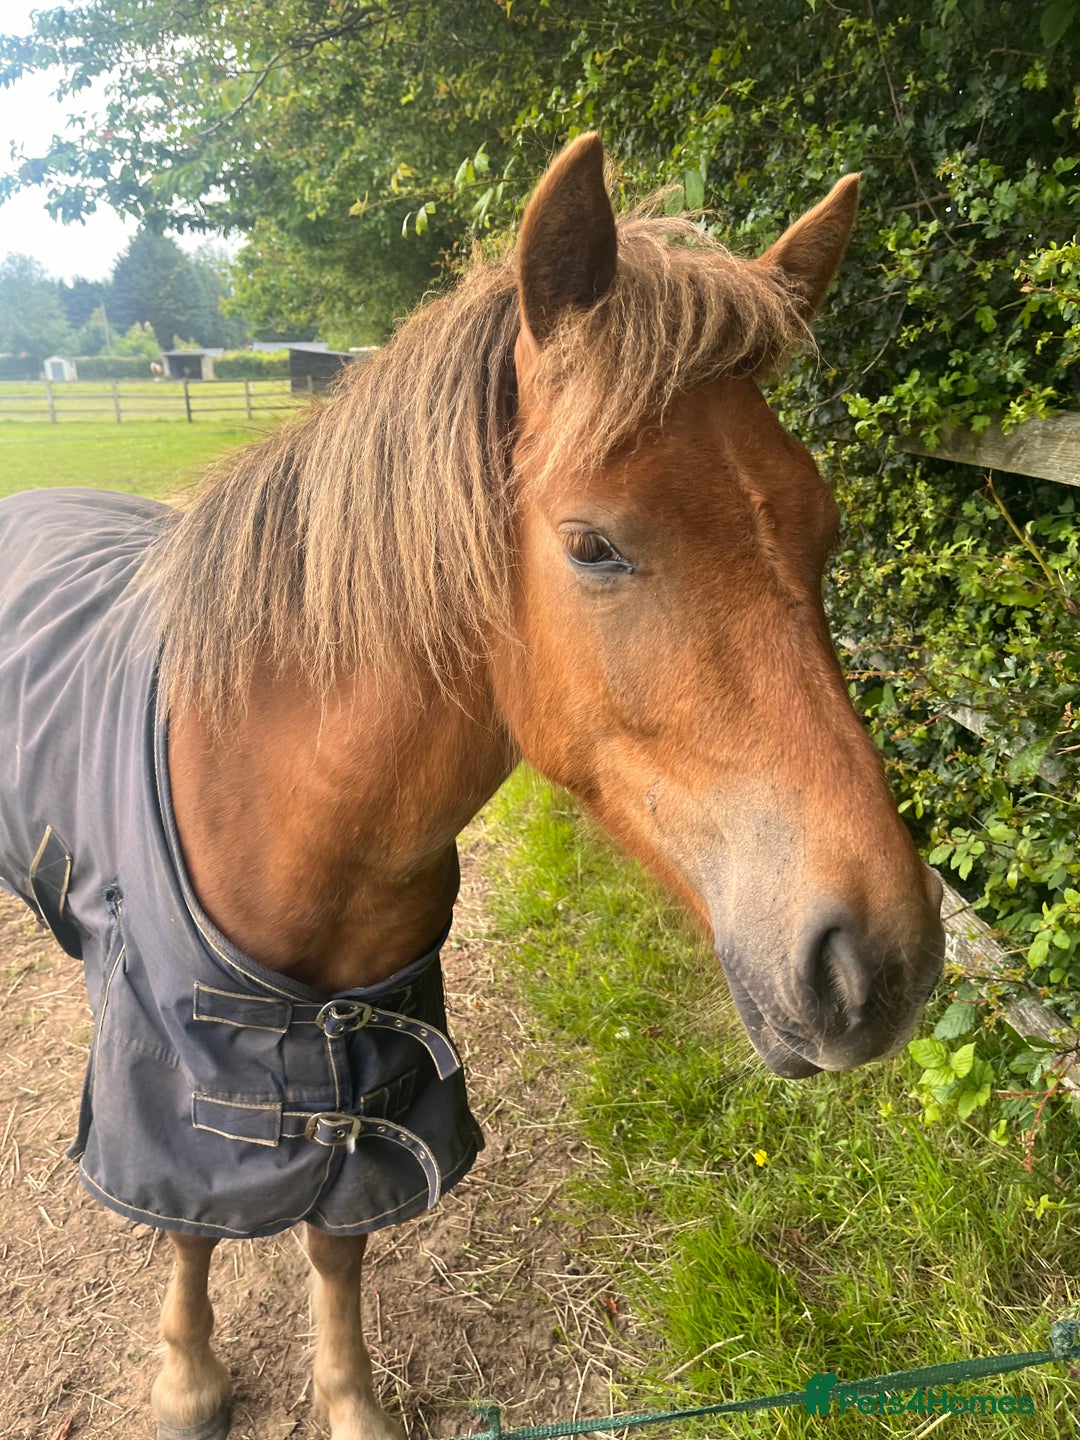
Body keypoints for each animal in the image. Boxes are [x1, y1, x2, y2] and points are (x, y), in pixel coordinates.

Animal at [0, 134, 944, 1440]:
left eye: (824, 524)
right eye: (592, 544)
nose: (882, 959)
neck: (280, 805)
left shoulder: (378, 1068)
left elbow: (335, 1247)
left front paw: (347, 1398)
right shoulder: (171, 1077)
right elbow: (190, 1227)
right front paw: (187, 1380)